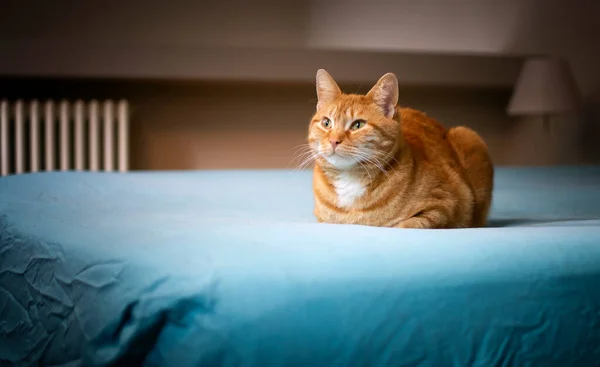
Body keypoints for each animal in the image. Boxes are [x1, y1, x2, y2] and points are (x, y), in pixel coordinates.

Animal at [308, 69, 494, 229]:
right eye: (326, 123)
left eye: (358, 125)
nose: (333, 141)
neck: (350, 179)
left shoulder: (447, 204)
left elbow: (409, 223)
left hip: (468, 135)